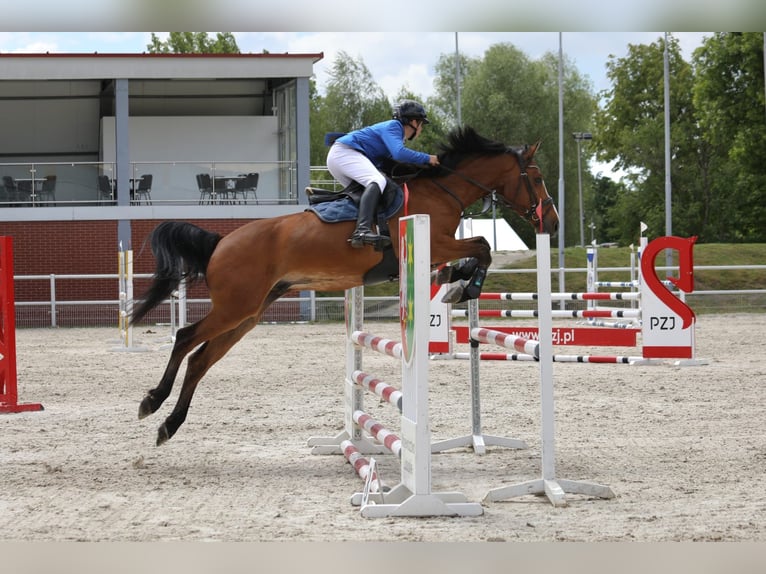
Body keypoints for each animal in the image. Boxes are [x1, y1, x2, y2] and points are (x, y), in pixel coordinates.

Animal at [131, 125, 559, 445]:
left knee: (201, 359)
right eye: (537, 177)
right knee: (185, 338)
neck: (442, 190)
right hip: (236, 307)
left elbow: (473, 253)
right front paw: (464, 287)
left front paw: (453, 281)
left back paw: (169, 424)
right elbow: (483, 246)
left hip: (248, 314)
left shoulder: (437, 248)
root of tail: (221, 242)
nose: (551, 223)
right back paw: (152, 401)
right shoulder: (435, 242)